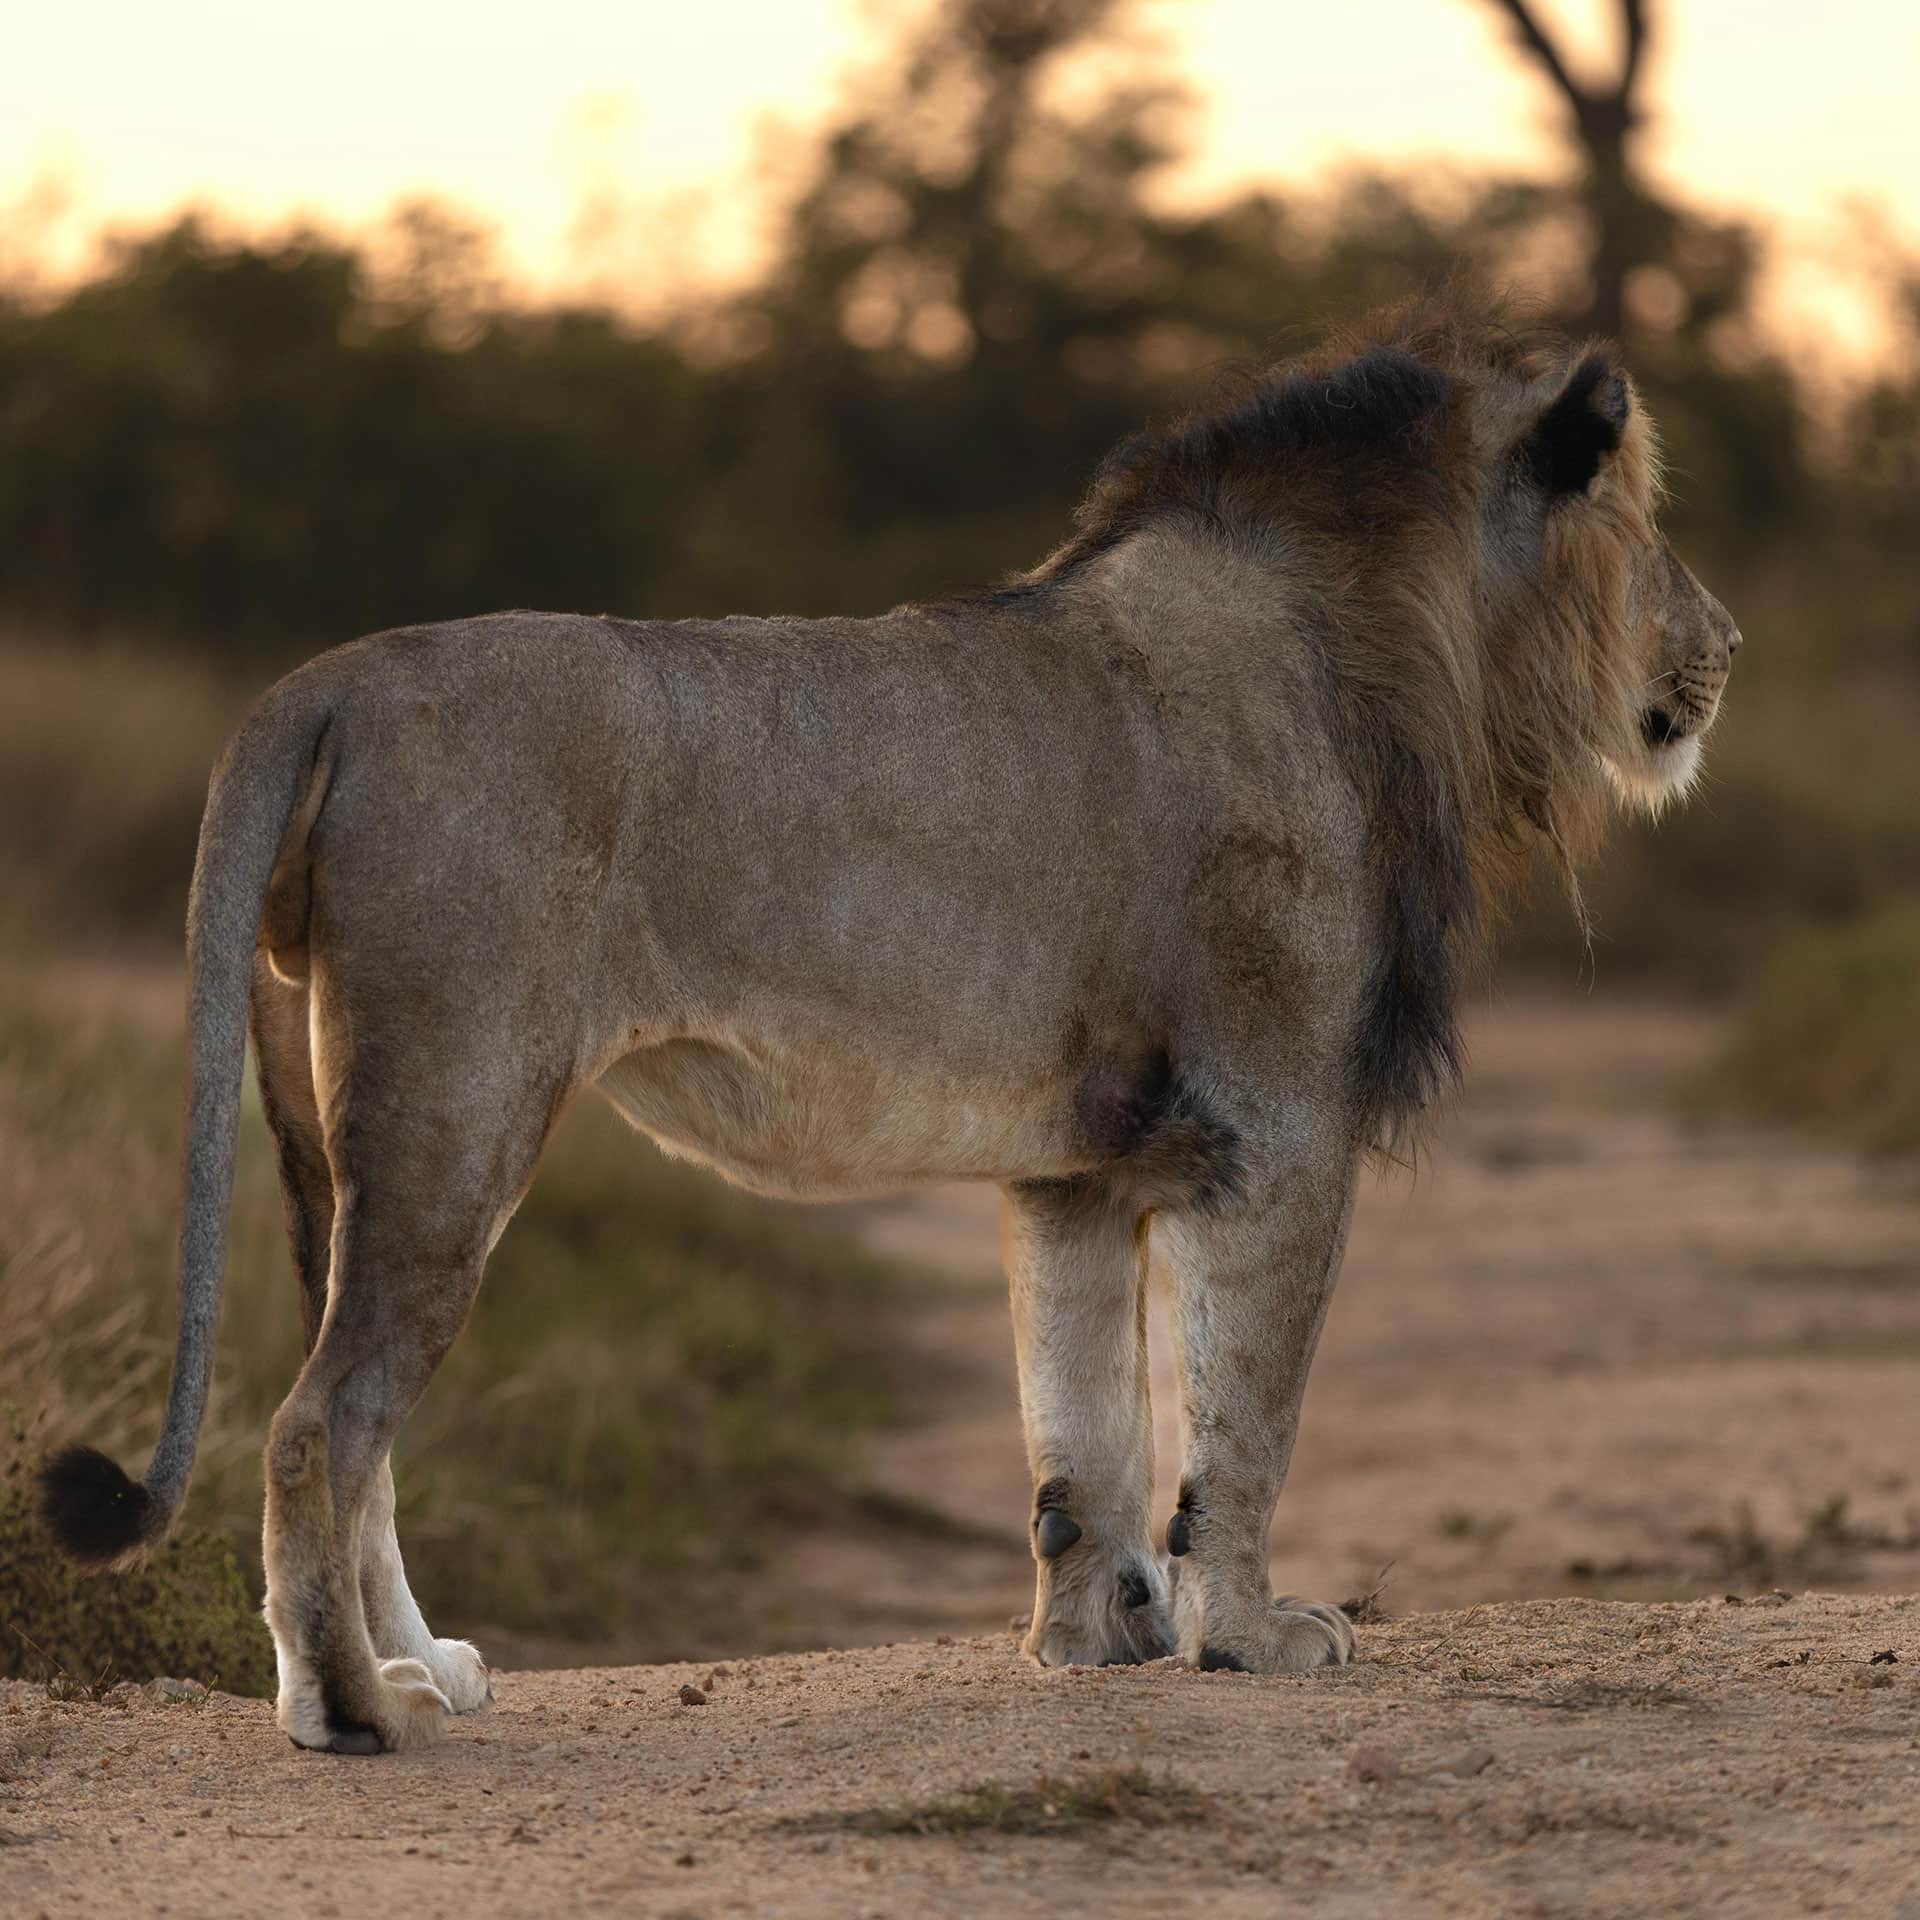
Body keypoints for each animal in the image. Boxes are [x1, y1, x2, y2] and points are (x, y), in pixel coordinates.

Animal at [40, 297, 1739, 1752]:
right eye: (1650, 521)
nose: (1726, 644)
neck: (1385, 638)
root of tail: (331, 680)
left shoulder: (1080, 1164)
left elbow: (1083, 1425)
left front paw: (1096, 1639)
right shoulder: (1275, 1124)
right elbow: (1242, 1410)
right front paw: (1253, 1637)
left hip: (325, 1132)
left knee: (342, 1414)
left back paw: (397, 1672)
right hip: (455, 1107)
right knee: (318, 1424)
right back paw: (350, 1712)